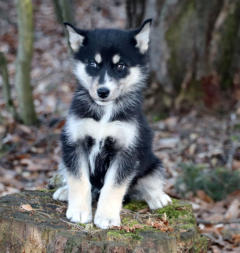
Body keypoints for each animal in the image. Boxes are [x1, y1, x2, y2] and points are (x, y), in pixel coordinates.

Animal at [53, 19, 172, 229]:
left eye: (120, 66)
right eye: (93, 63)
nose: (103, 91)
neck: (104, 113)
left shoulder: (127, 151)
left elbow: (113, 186)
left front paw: (107, 217)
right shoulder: (74, 142)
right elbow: (79, 180)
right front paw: (79, 211)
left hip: (153, 162)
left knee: (149, 181)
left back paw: (157, 197)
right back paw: (64, 191)